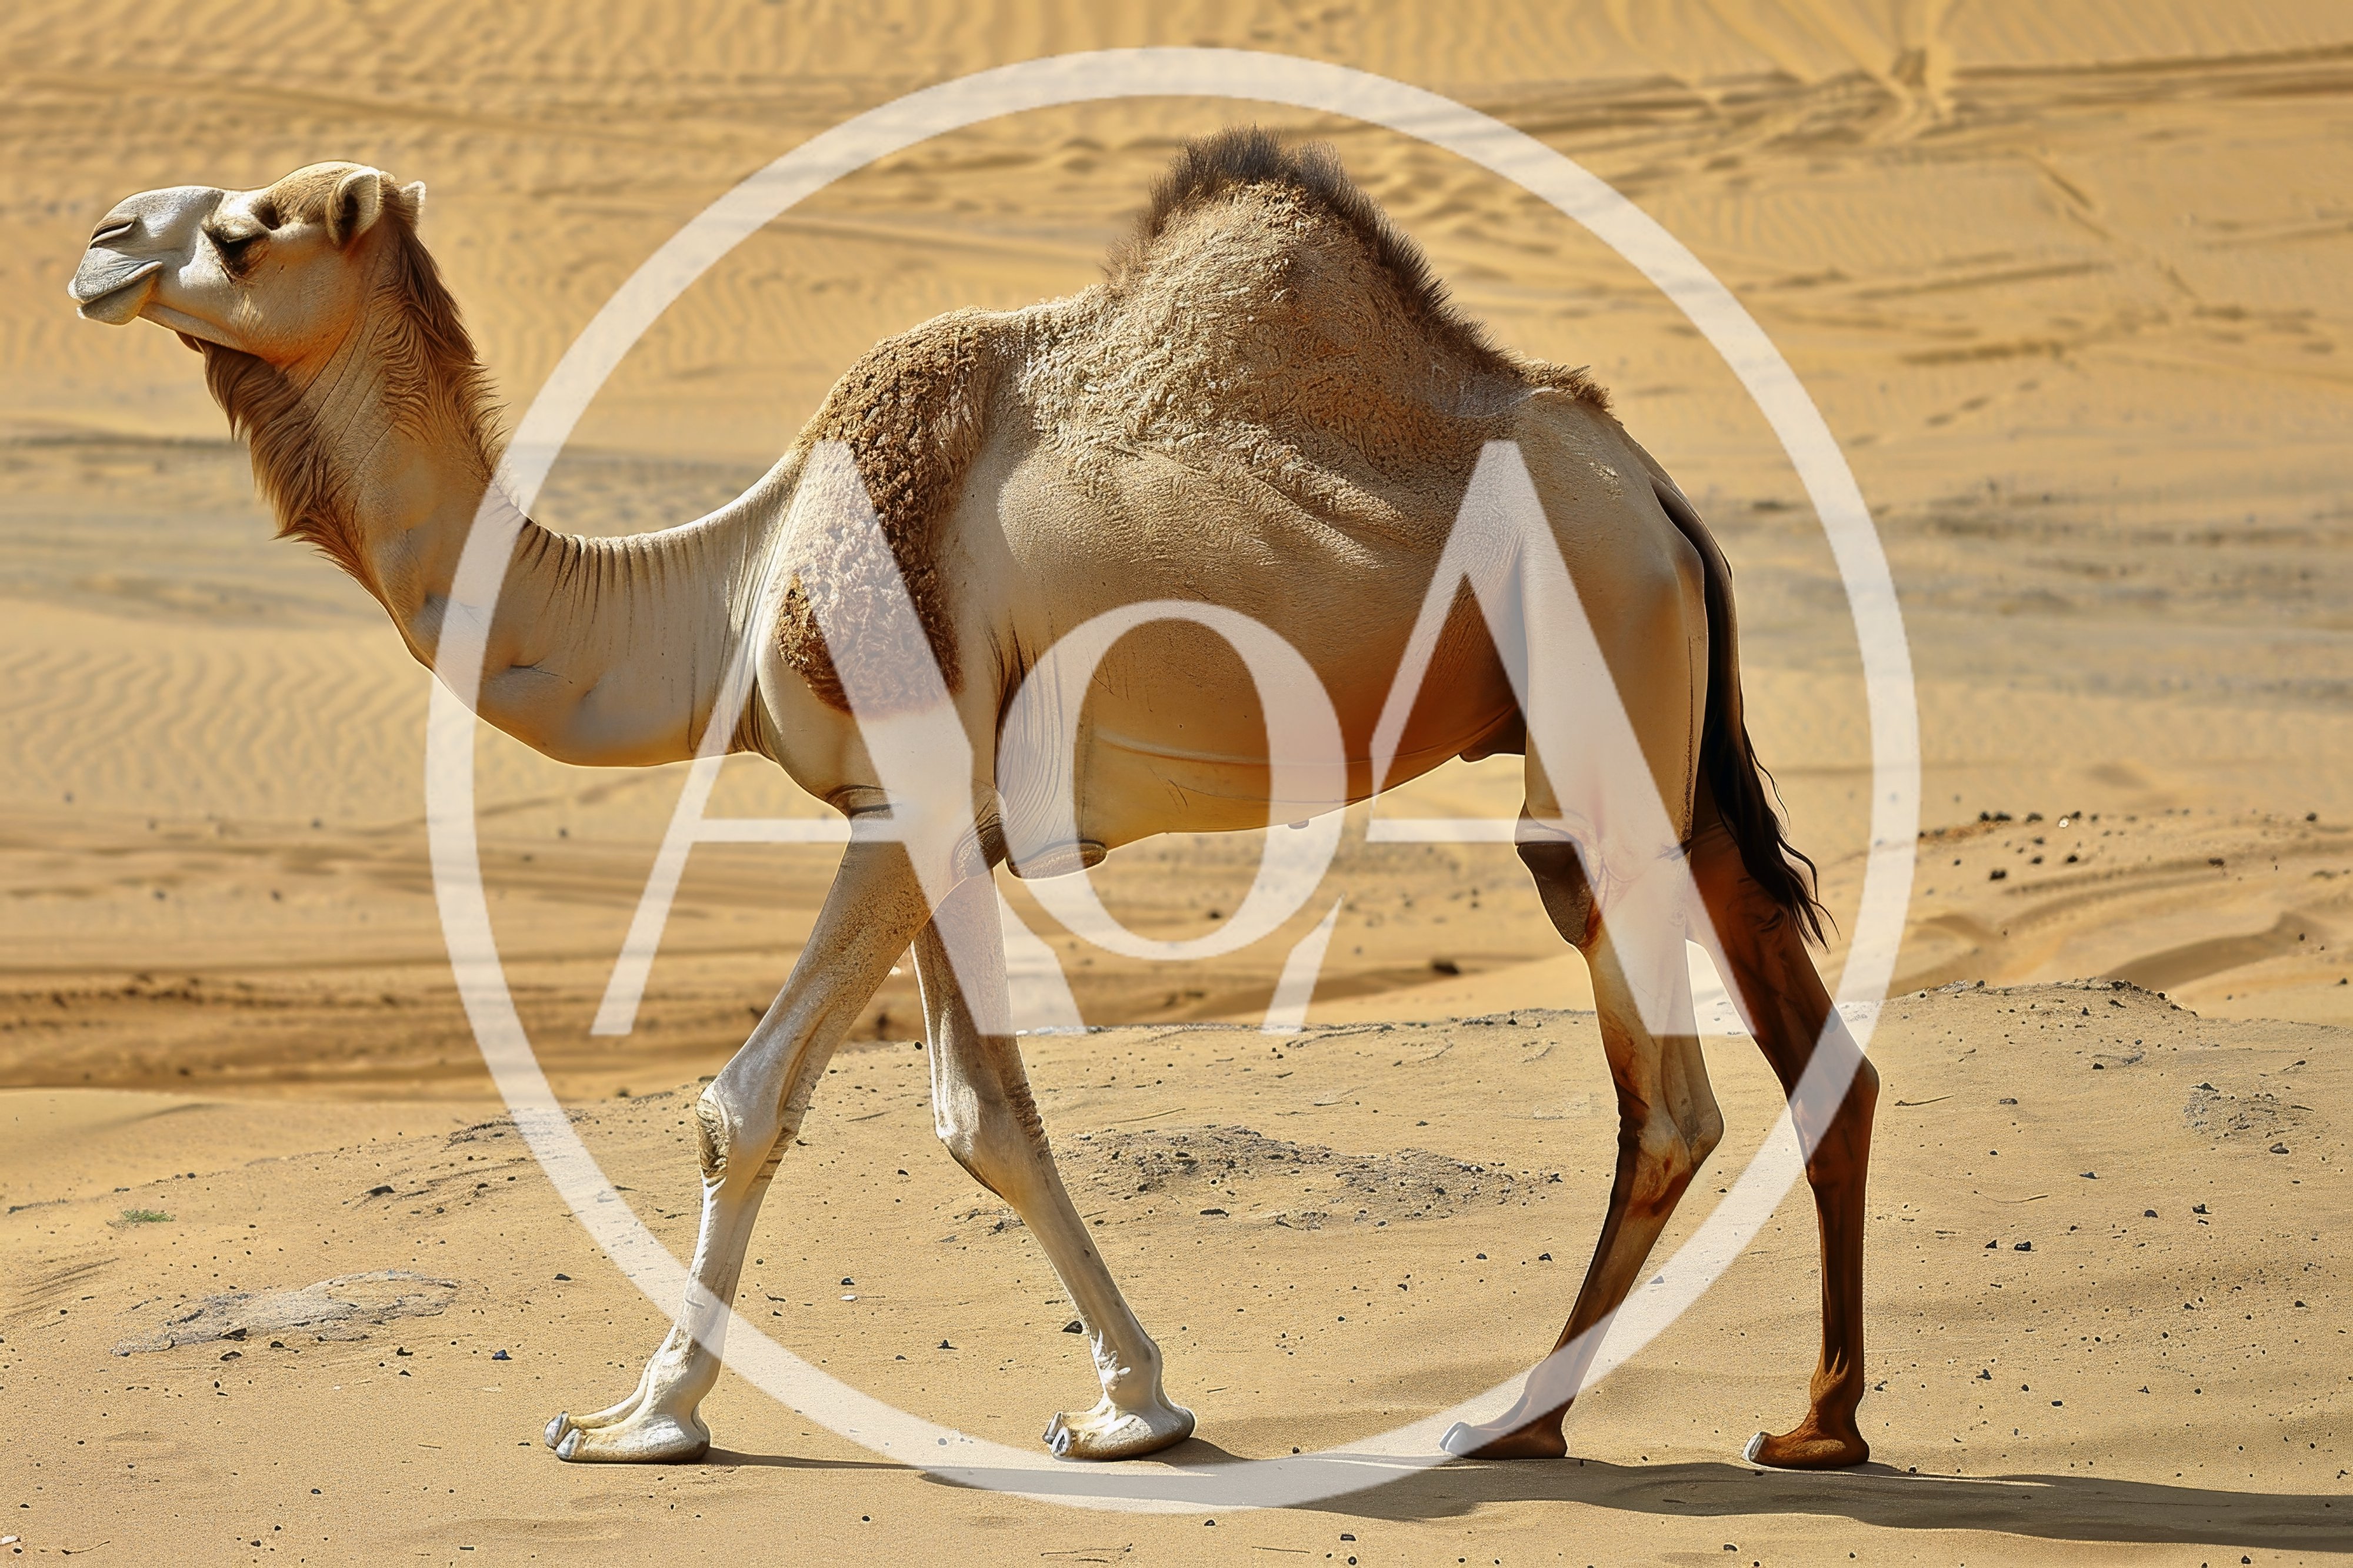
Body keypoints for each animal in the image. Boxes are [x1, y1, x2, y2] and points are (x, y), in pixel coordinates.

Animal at [70, 131, 1878, 1472]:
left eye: (245, 226)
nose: (97, 242)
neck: (735, 588)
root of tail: (1659, 500)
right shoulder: (940, 819)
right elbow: (978, 1115)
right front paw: (1134, 1404)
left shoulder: (902, 794)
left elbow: (748, 1099)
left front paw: (642, 1416)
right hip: (1662, 748)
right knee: (1810, 1053)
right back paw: (1814, 1424)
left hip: (1594, 701)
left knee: (1670, 1093)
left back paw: (1517, 1423)